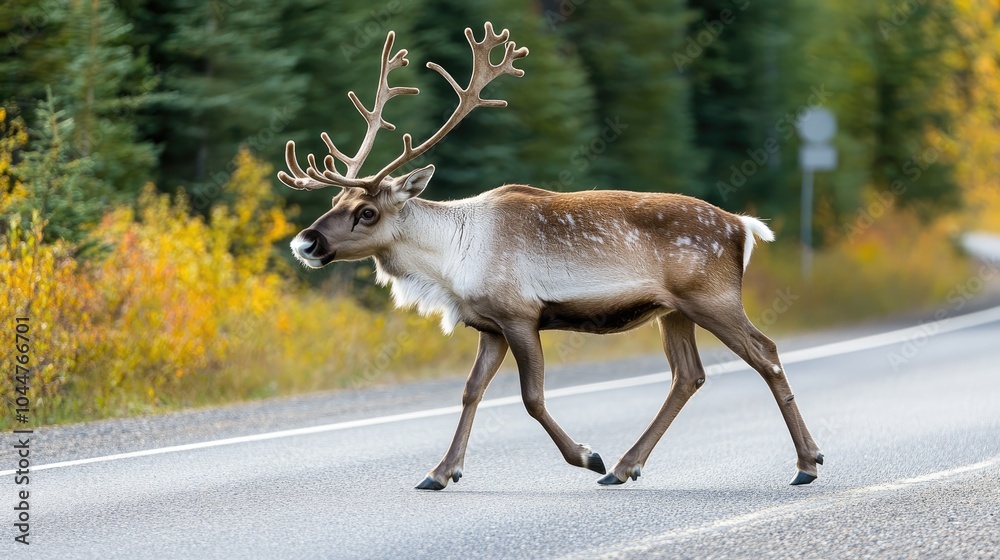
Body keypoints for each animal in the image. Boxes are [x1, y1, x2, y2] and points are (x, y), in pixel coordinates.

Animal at [279, 23, 824, 490]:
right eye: (335, 200)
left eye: (367, 211)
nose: (305, 242)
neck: (450, 265)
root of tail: (744, 227)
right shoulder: (489, 324)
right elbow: (471, 390)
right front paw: (440, 472)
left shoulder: (520, 314)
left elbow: (532, 397)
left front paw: (587, 455)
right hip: (674, 311)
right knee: (688, 375)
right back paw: (626, 466)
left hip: (711, 297)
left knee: (766, 353)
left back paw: (806, 462)